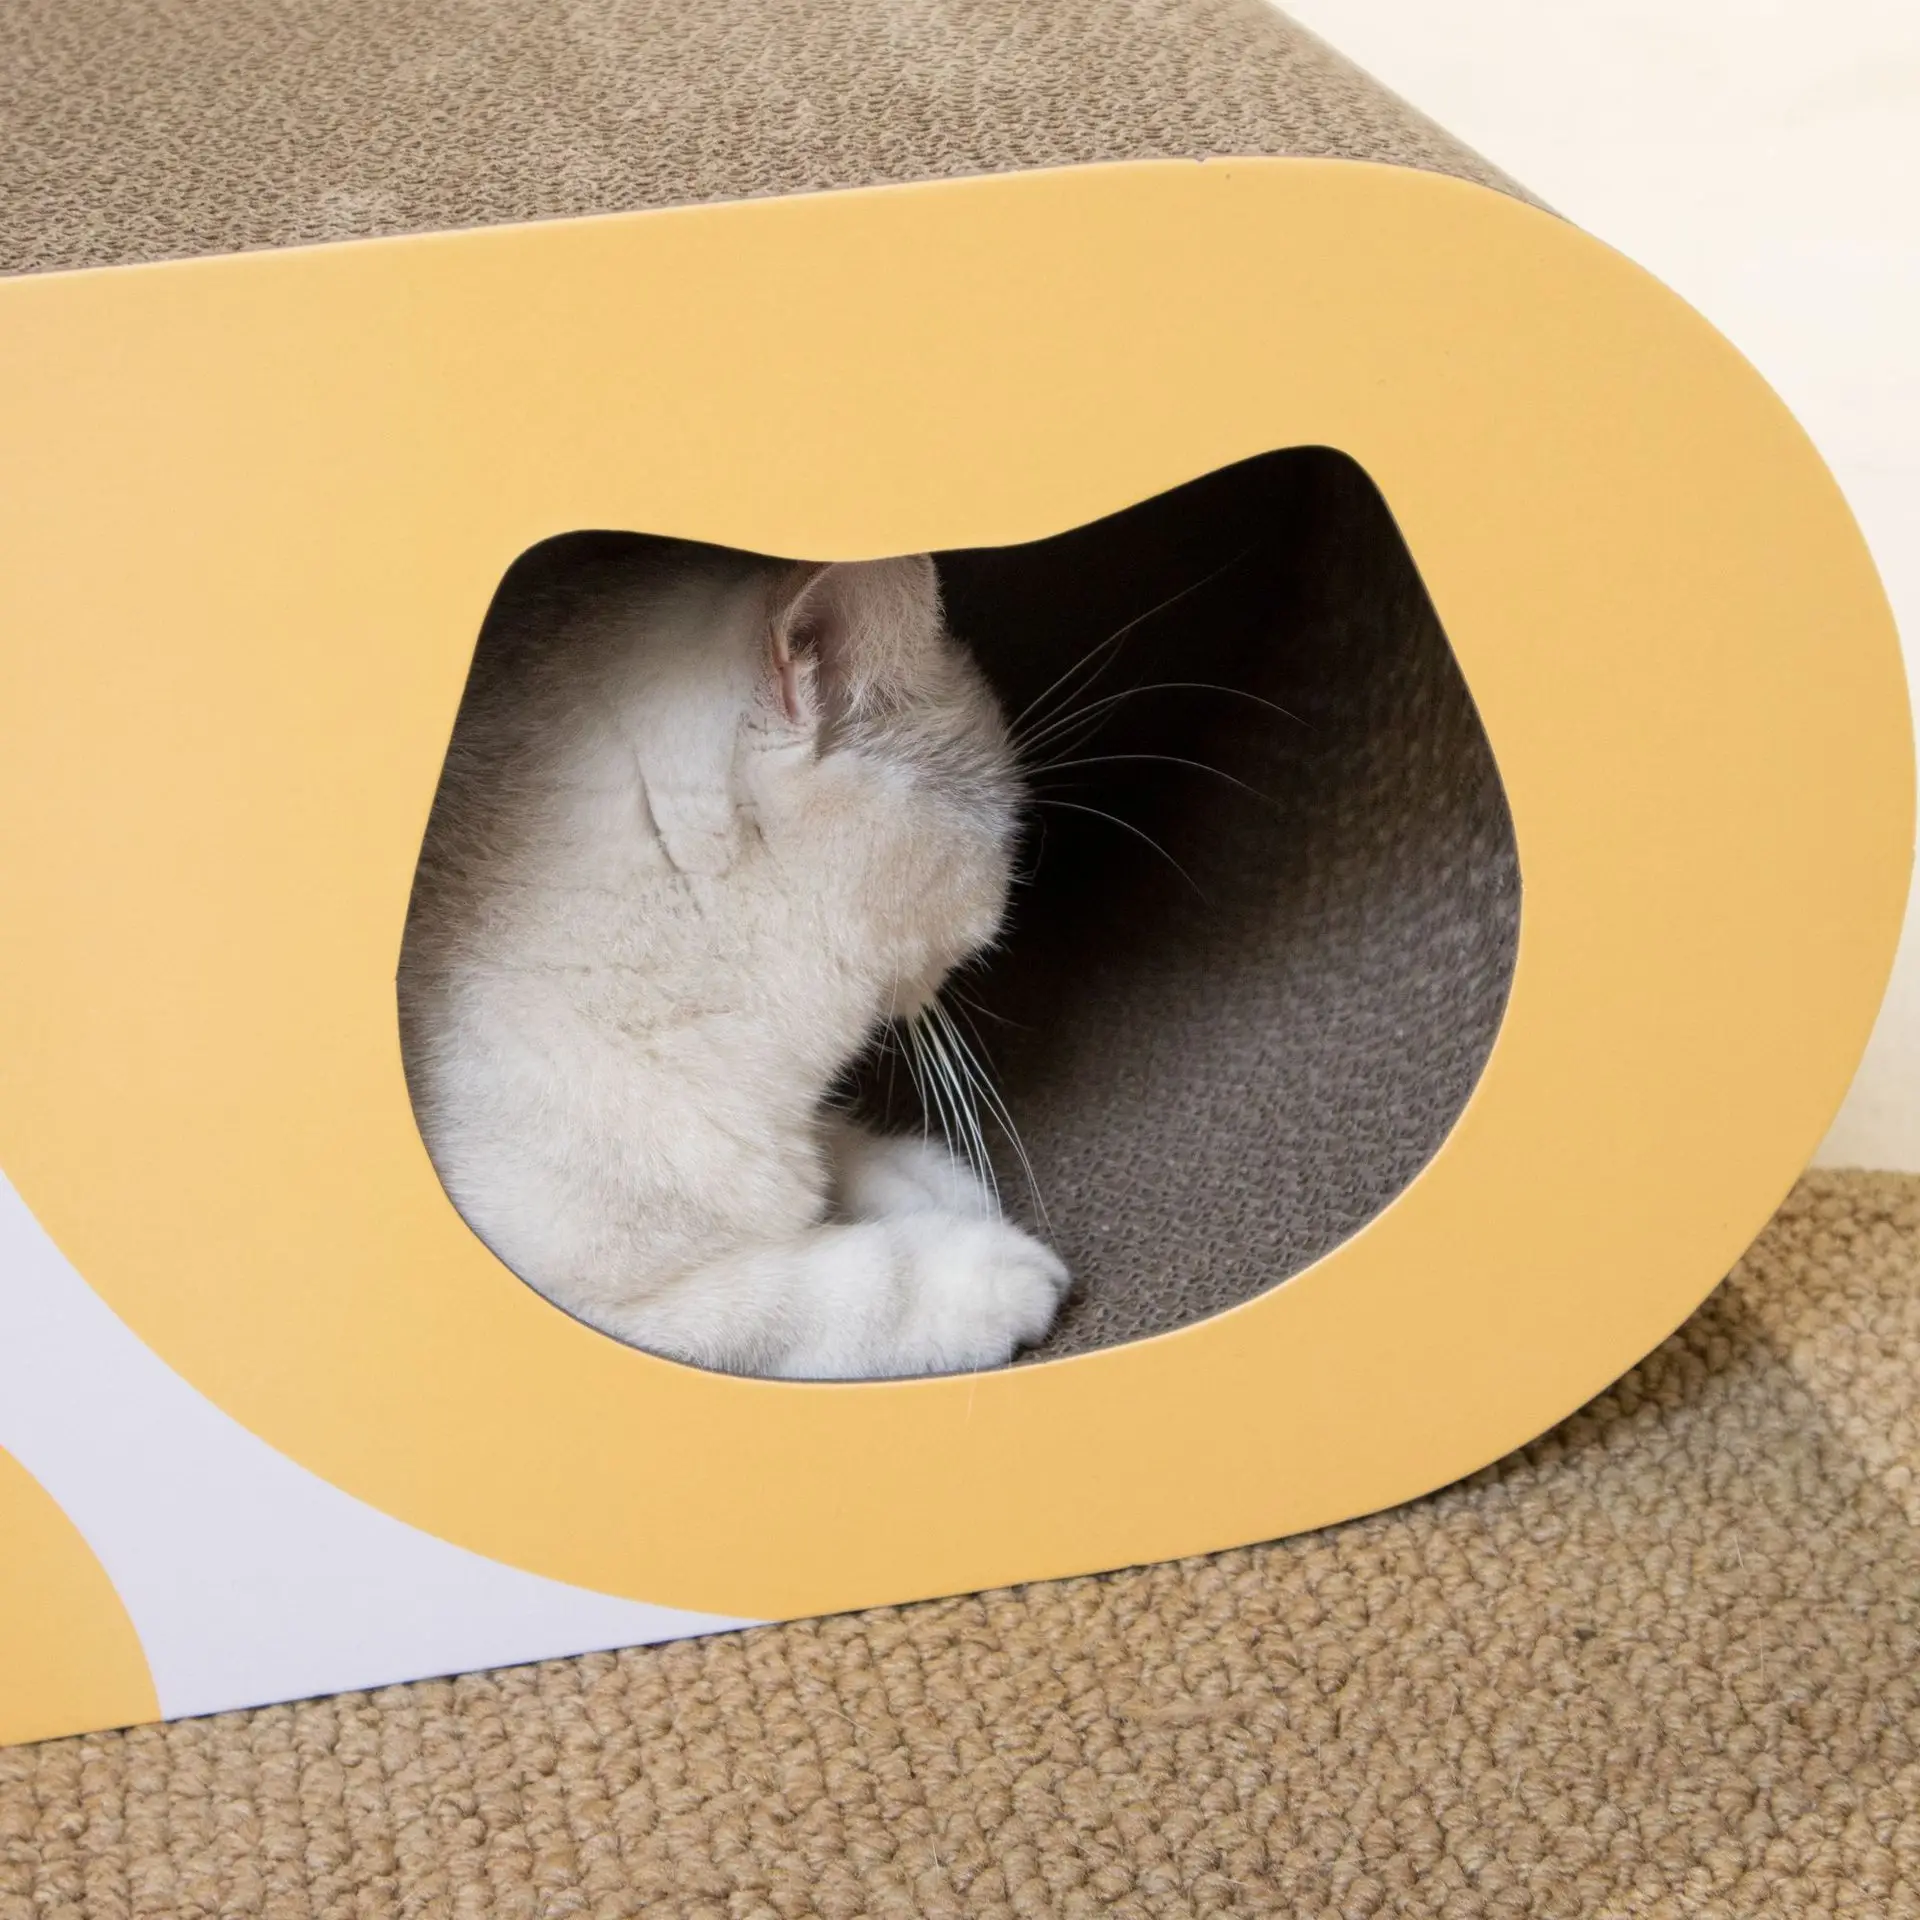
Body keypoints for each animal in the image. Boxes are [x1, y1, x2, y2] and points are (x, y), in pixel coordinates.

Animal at [397, 537, 1068, 1379]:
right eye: (1007, 833)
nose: (1023, 875)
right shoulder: (614, 1312)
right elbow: (846, 1285)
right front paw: (998, 1268)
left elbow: (840, 1153)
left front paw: (925, 1179)